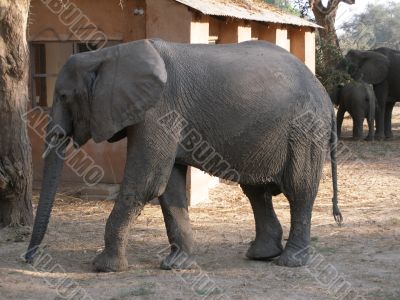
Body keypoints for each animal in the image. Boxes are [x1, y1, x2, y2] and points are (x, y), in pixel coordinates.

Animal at [25, 39, 342, 272]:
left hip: (305, 129)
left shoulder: (160, 111)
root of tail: (325, 95)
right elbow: (169, 188)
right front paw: (177, 265)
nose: (27, 258)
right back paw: (261, 255)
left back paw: (289, 262)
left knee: (299, 190)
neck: (108, 55)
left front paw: (103, 267)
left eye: (64, 96)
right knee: (256, 191)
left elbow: (145, 183)